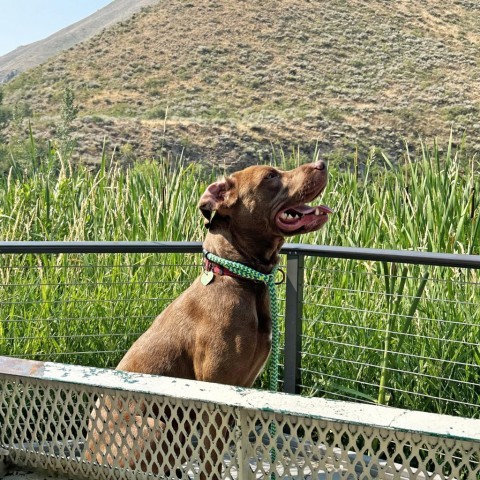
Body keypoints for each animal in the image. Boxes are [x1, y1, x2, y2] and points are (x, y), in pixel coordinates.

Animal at [86, 160, 330, 476]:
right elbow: (211, 460)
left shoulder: (241, 389)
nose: (322, 164)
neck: (237, 276)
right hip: (156, 425)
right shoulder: (215, 393)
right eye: (270, 176)